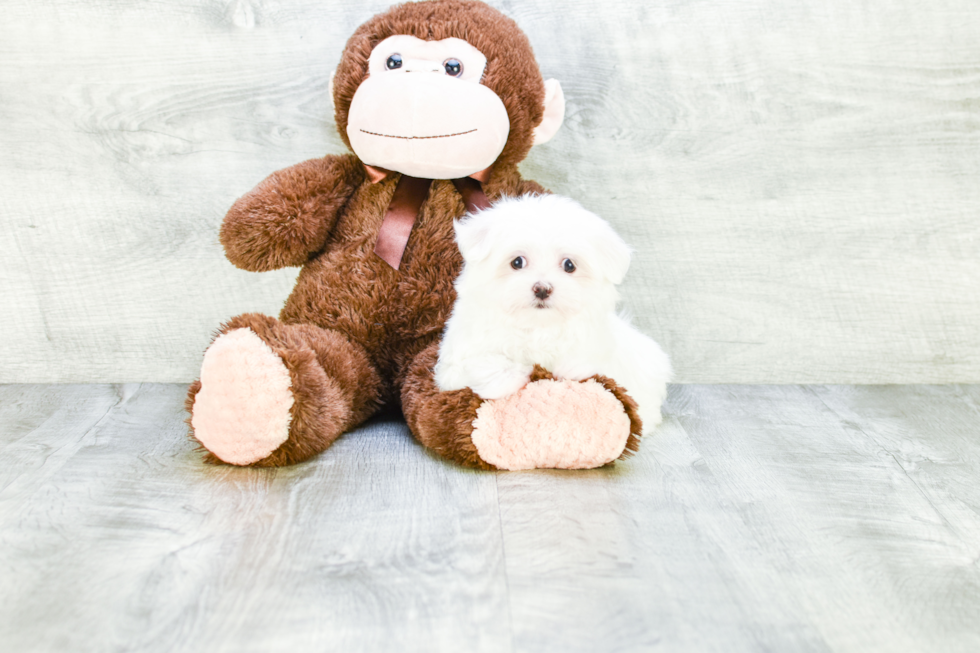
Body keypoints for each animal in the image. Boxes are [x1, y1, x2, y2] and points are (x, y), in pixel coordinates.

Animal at [436, 191, 672, 430]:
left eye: (569, 265)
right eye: (517, 262)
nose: (542, 289)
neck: (538, 326)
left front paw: (569, 369)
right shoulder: (455, 360)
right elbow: (482, 363)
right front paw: (510, 378)